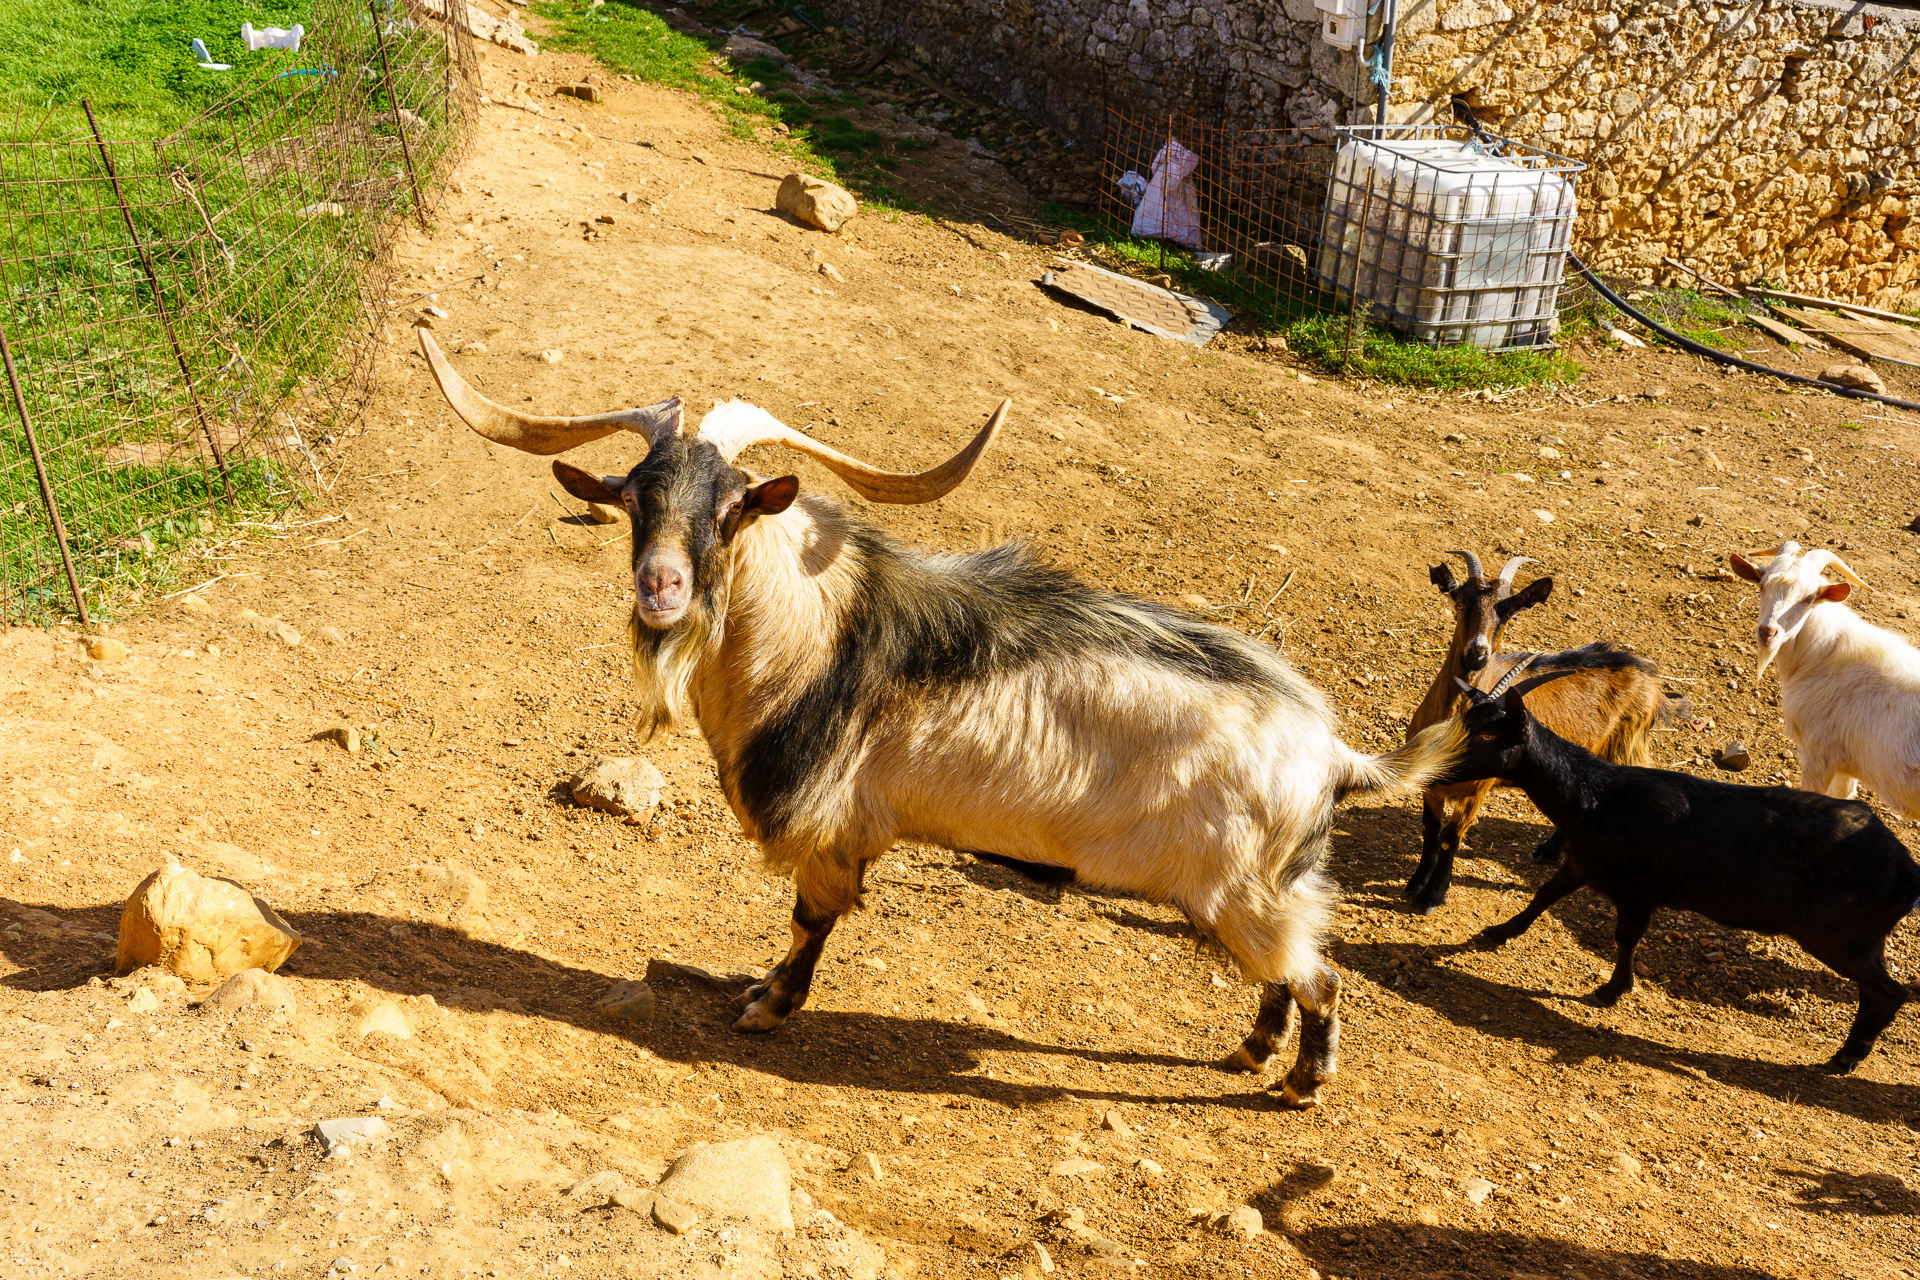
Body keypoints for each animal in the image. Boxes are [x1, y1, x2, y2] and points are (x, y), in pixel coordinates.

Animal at [1405, 552, 1689, 909]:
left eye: (1508, 611)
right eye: (1459, 601)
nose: (1478, 653)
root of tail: (1651, 680)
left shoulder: (1476, 792)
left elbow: (1450, 837)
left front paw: (1434, 895)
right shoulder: (1429, 783)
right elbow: (1430, 830)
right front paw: (1416, 884)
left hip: (1624, 748)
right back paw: (1549, 849)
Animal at [1451, 660, 1920, 1074]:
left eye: (1489, 733)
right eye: (1465, 721)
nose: (1445, 766)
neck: (1598, 797)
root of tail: (1907, 872)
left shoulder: (1638, 891)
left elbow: (1626, 937)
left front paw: (1610, 991)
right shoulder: (1584, 864)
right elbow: (1544, 895)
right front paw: (1496, 933)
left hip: (1840, 935)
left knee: (1889, 993)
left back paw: (1844, 1058)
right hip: (1859, 938)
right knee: (1874, 992)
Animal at [1728, 545, 1920, 805]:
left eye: (1809, 599)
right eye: (1762, 586)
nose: (1767, 632)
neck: (1823, 656)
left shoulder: (1820, 754)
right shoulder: (1848, 763)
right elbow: (1844, 794)